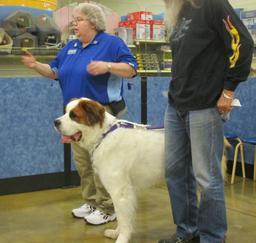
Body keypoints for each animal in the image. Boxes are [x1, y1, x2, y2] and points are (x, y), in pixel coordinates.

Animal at [53, 97, 226, 243]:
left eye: (73, 115)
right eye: (65, 112)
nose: (55, 122)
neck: (103, 134)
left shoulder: (120, 191)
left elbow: (123, 217)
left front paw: (121, 238)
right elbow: (121, 216)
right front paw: (116, 233)